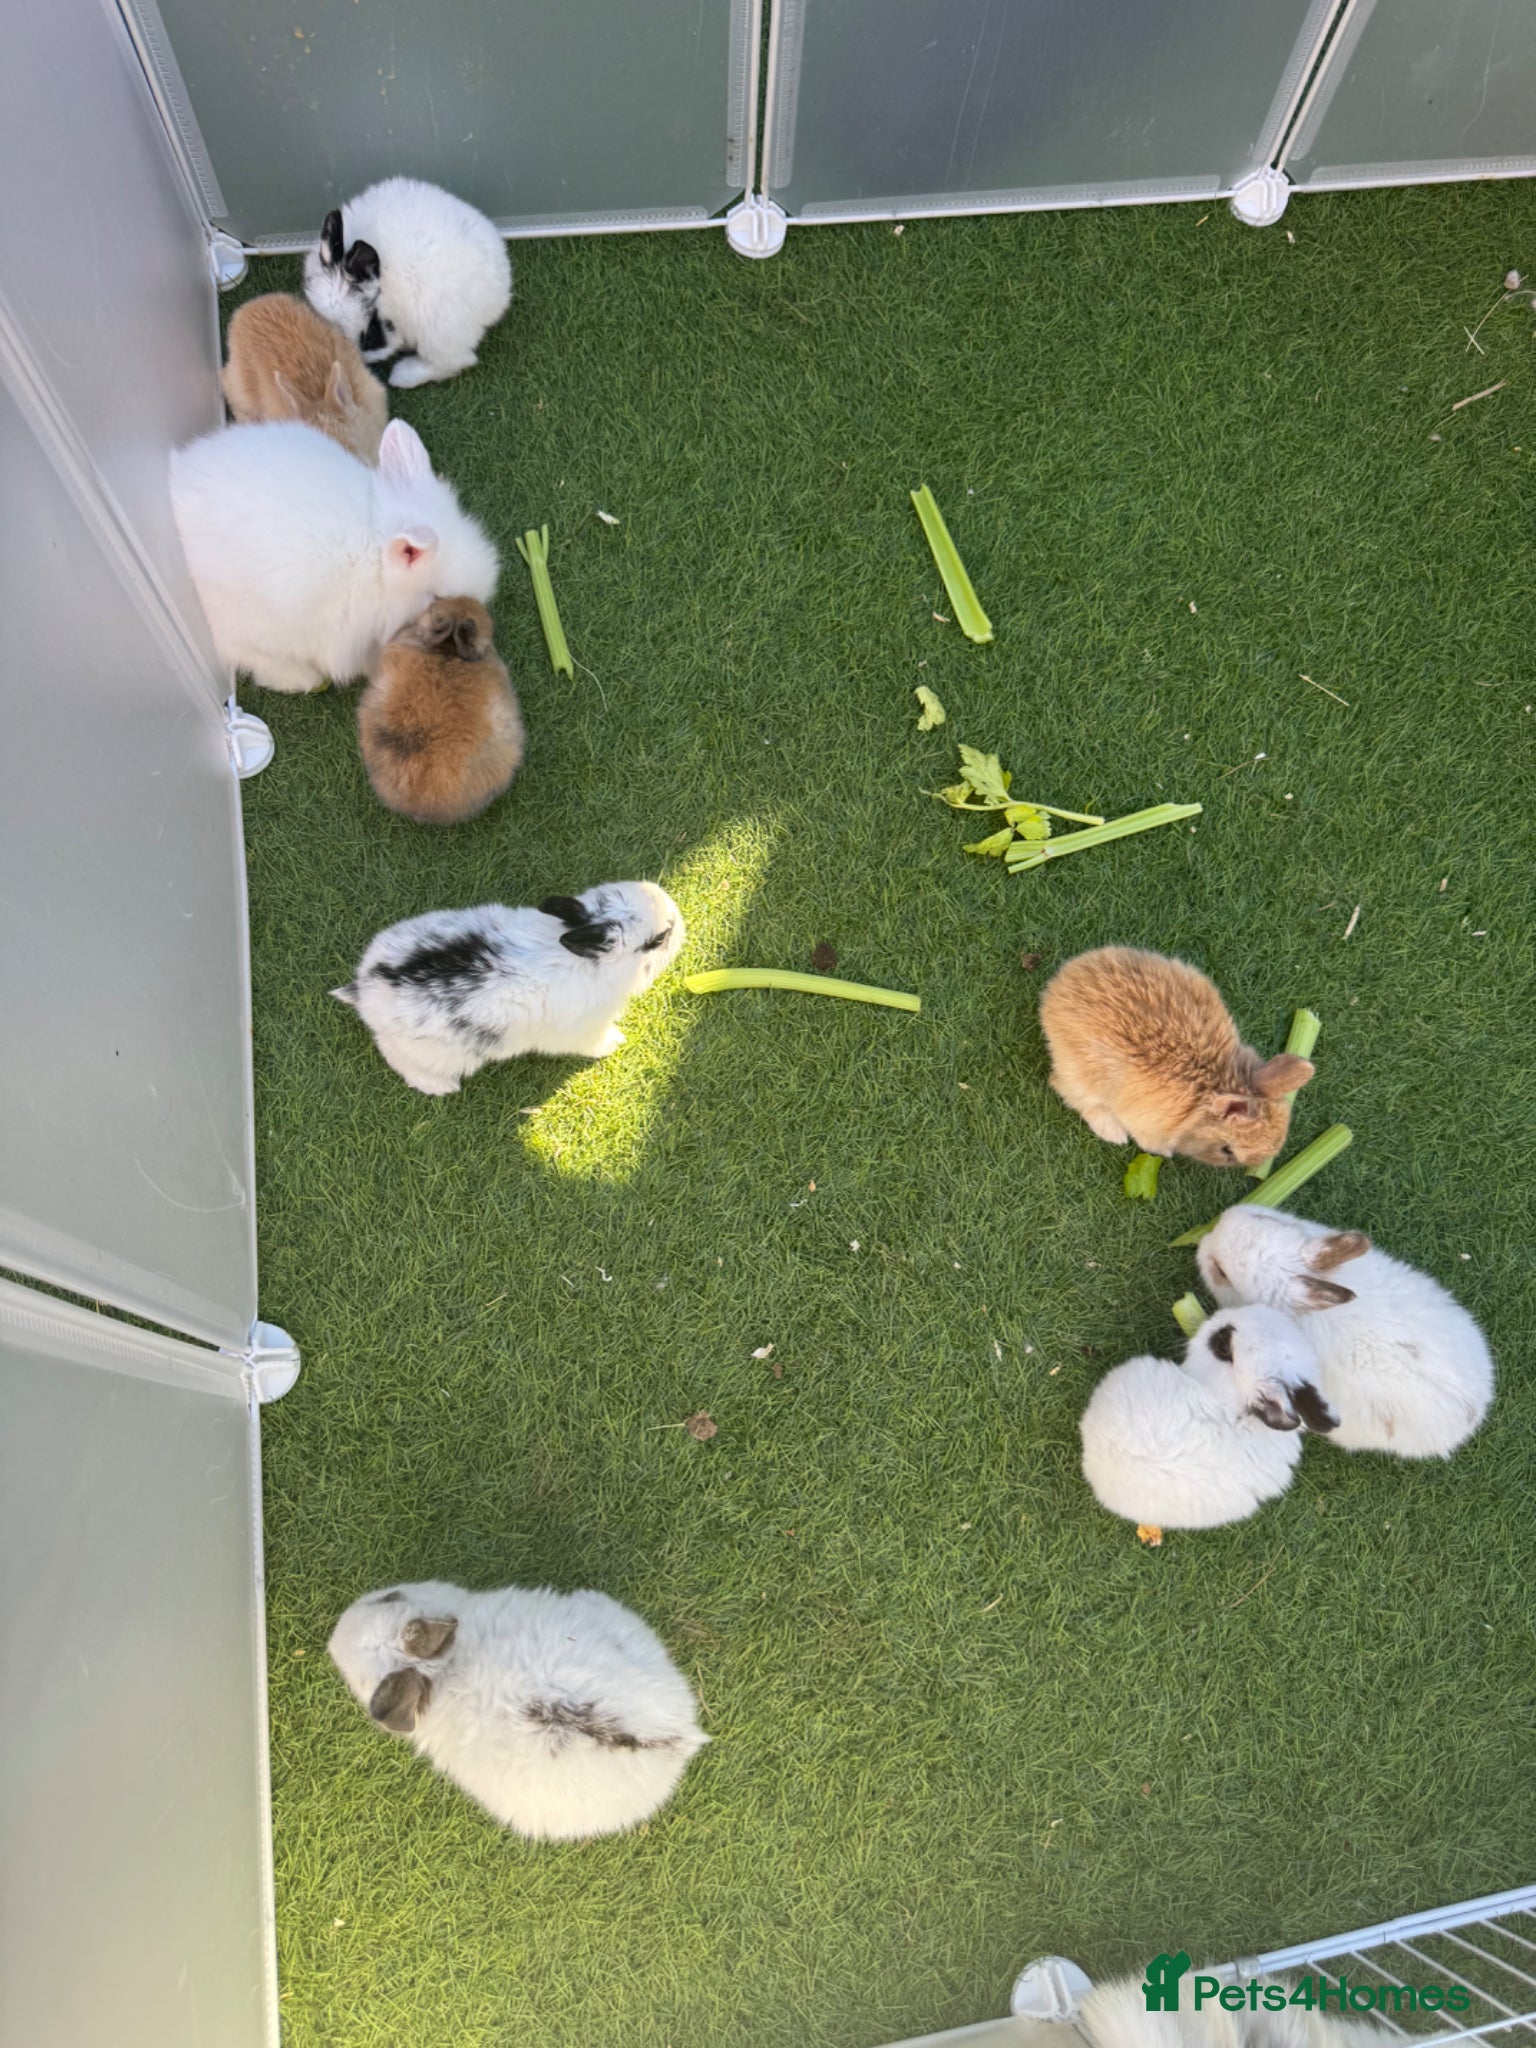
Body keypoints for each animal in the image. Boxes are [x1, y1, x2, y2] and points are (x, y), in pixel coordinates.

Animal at [303, 178, 513, 387]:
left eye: (371, 334)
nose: (361, 359)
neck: (386, 286)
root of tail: (502, 291)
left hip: (438, 331)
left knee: (459, 361)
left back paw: (401, 375)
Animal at [332, 881, 685, 1094]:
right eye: (657, 940)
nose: (679, 917)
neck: (587, 963)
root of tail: (365, 988)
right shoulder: (584, 1031)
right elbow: (597, 1042)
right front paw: (616, 1042)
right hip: (437, 1055)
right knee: (394, 1056)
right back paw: (441, 1087)